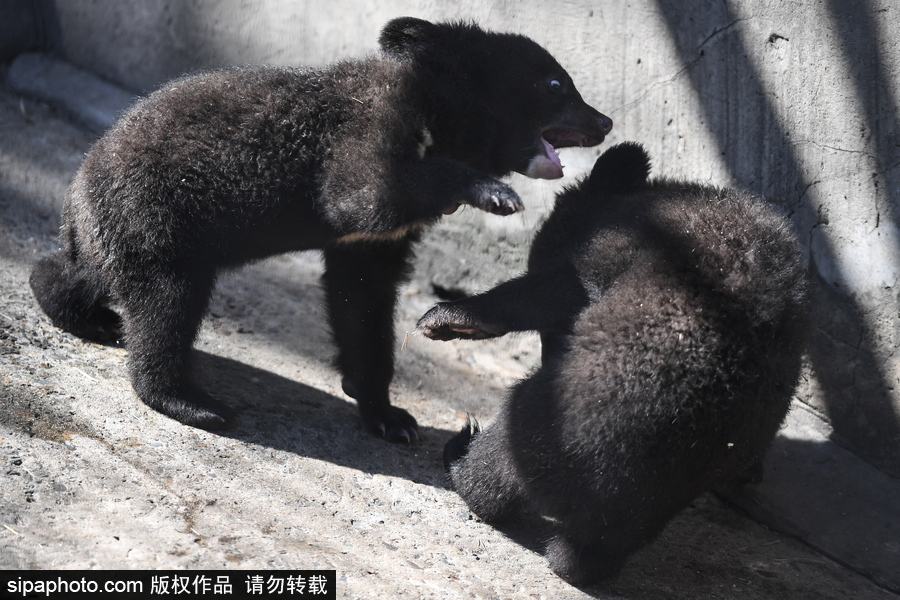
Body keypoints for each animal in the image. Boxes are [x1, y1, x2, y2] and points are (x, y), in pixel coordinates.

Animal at [28, 17, 612, 442]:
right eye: (557, 84)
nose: (605, 122)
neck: (440, 115)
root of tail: (79, 186)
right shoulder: (365, 135)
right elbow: (363, 196)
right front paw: (496, 194)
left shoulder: (374, 244)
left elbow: (363, 296)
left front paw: (389, 416)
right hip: (159, 219)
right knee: (165, 304)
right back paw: (191, 402)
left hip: (122, 231)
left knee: (87, 272)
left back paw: (84, 312)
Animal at [416, 143, 809, 583]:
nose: (559, 351)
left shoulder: (614, 251)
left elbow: (551, 291)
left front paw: (450, 317)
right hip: (675, 479)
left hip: (568, 419)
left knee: (503, 456)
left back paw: (463, 457)